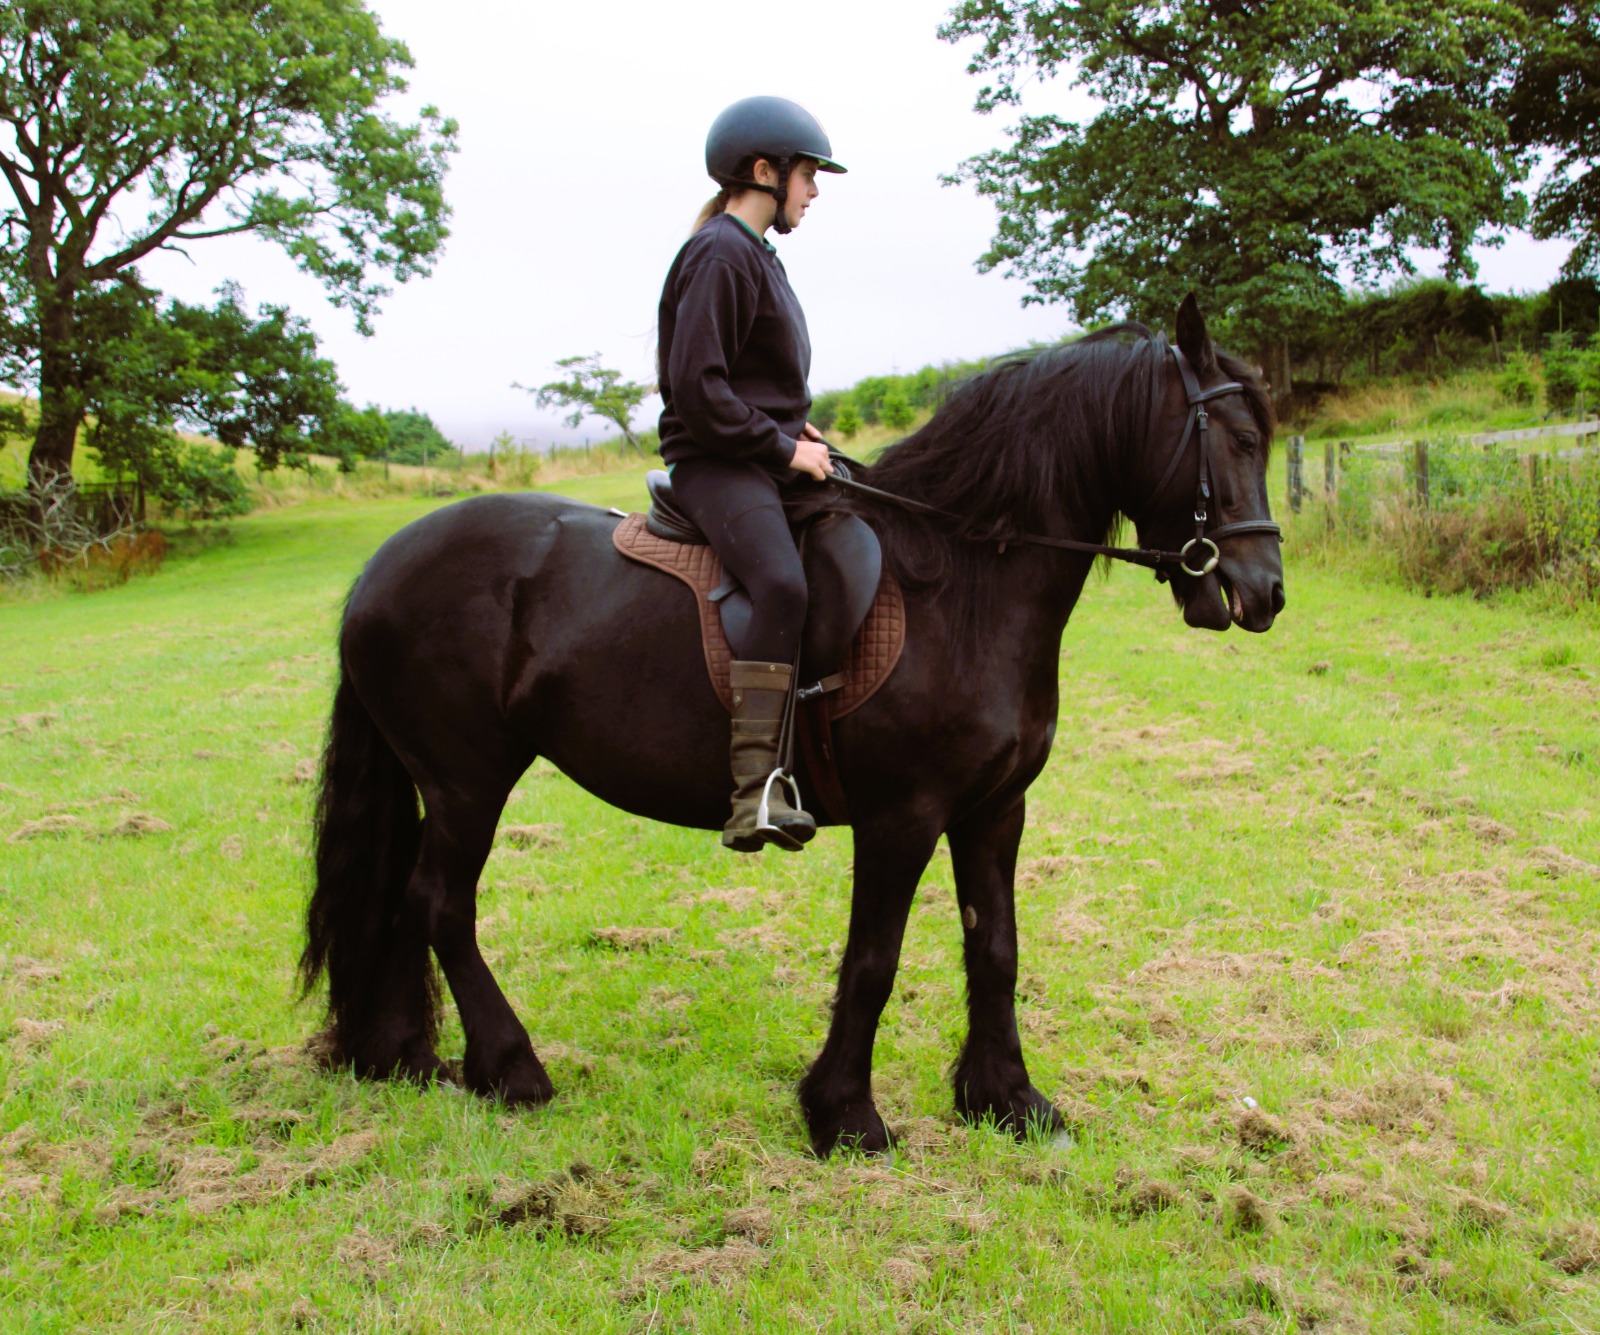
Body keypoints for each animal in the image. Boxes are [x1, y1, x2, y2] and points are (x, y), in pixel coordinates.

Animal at [299, 297, 1285, 1156]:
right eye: (1239, 440)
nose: (1266, 591)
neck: (963, 585)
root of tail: (381, 566)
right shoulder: (903, 816)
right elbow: (875, 959)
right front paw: (846, 1116)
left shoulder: (994, 809)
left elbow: (995, 946)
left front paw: (1008, 1100)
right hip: (467, 781)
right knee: (441, 904)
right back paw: (512, 1069)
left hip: (439, 785)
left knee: (406, 901)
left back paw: (406, 1057)